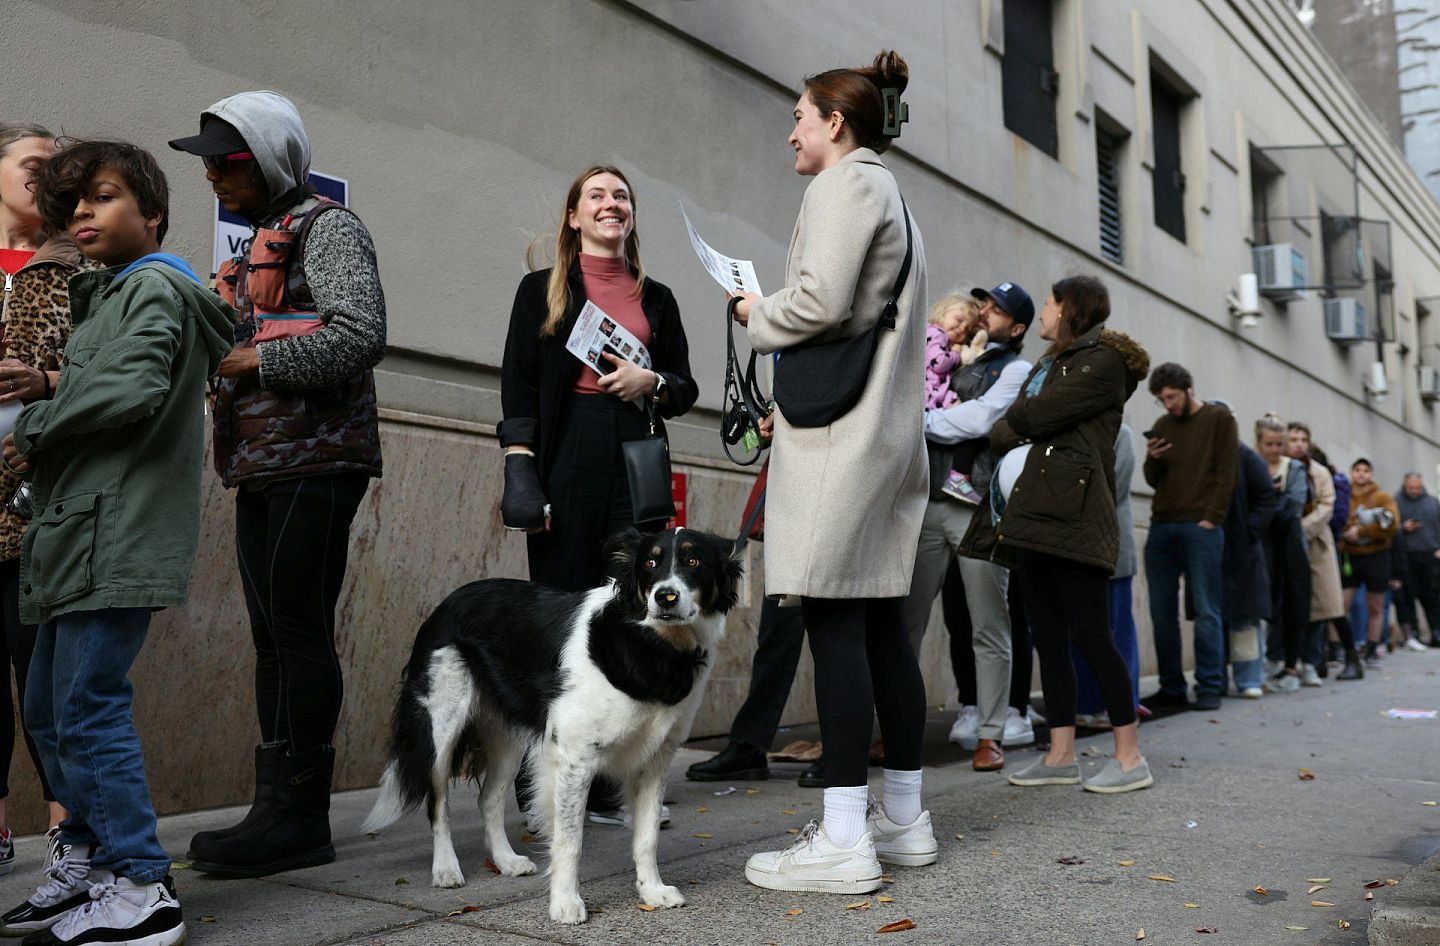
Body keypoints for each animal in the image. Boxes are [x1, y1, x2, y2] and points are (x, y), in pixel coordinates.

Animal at [362, 526, 743, 927]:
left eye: (694, 561)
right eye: (650, 564)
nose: (665, 597)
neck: (651, 645)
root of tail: (447, 602)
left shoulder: (654, 761)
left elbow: (647, 835)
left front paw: (652, 891)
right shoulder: (574, 758)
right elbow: (569, 839)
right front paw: (565, 903)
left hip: (508, 738)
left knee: (489, 798)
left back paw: (506, 861)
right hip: (442, 725)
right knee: (438, 801)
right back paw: (446, 868)